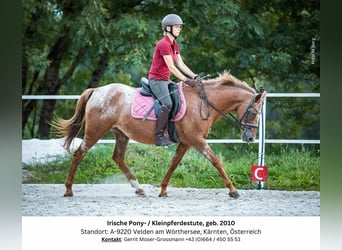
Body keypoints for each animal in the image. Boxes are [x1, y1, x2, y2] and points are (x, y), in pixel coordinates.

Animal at [52, 71, 268, 198]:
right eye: (254, 112)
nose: (250, 138)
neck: (202, 102)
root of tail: (97, 90)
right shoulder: (197, 141)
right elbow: (216, 162)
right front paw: (233, 190)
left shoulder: (186, 142)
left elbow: (173, 163)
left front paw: (163, 189)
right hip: (95, 131)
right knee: (79, 154)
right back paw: (68, 189)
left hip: (121, 134)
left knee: (118, 158)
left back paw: (138, 188)